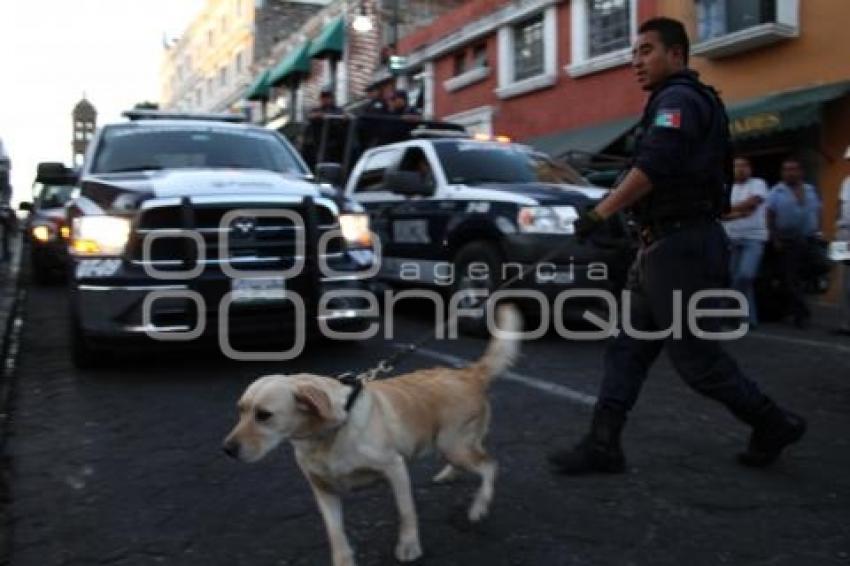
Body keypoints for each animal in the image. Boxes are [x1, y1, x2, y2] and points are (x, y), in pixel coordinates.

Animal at [222, 308, 520, 564]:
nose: (227, 449)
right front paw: (343, 560)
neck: (327, 435)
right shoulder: (323, 489)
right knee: (475, 458)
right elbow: (335, 533)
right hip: (452, 444)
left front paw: (409, 545)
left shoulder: (395, 468)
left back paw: (479, 506)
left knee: (489, 465)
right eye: (240, 410)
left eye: (264, 415)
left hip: (452, 444)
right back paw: (450, 474)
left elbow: (406, 512)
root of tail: (469, 373)